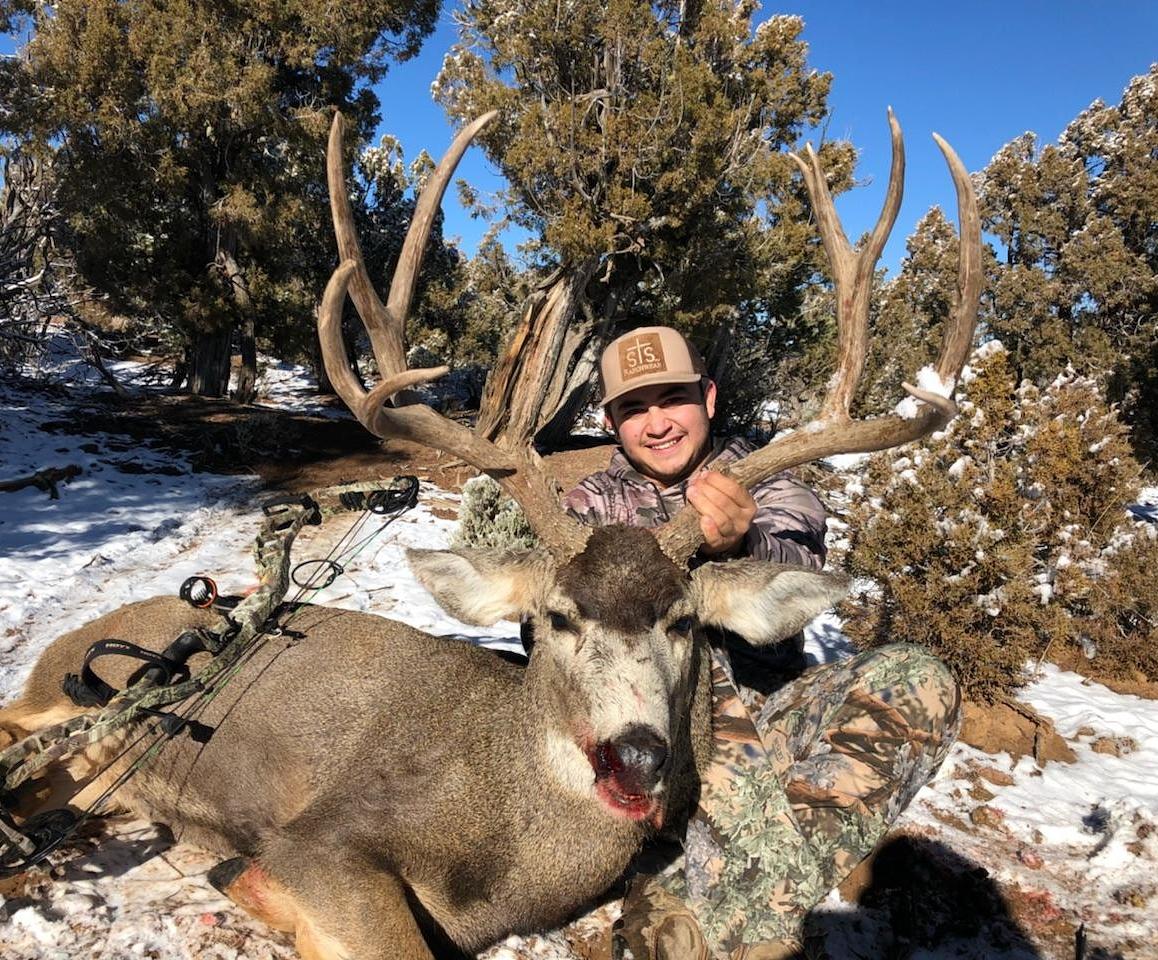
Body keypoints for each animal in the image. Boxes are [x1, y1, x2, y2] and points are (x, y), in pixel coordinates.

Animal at [0, 108, 981, 960]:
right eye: (556, 619)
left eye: (685, 623)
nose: (638, 754)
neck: (503, 857)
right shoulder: (322, 841)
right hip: (70, 698)